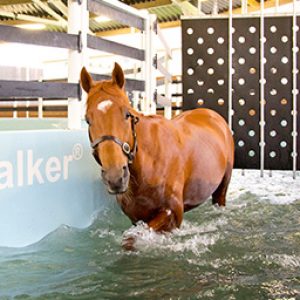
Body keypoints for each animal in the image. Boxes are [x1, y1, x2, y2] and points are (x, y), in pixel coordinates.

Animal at [81, 62, 234, 241]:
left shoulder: (172, 214)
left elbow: (133, 237)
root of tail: (212, 114)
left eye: (127, 114)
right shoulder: (137, 217)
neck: (150, 164)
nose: (115, 177)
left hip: (222, 187)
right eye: (87, 120)